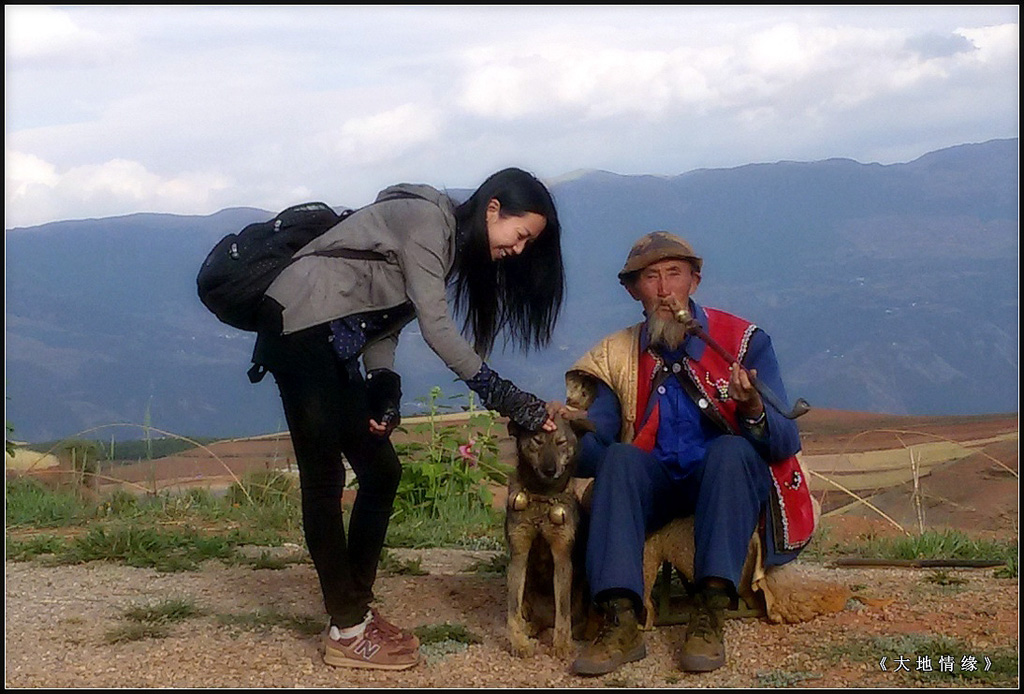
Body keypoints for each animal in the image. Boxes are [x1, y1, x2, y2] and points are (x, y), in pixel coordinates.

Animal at [503, 415, 593, 659]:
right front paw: (518, 643)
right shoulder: (519, 553)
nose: (550, 469)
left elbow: (563, 611)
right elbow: (513, 608)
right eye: (537, 440)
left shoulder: (561, 556)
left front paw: (561, 644)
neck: (542, 497)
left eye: (561, 442)